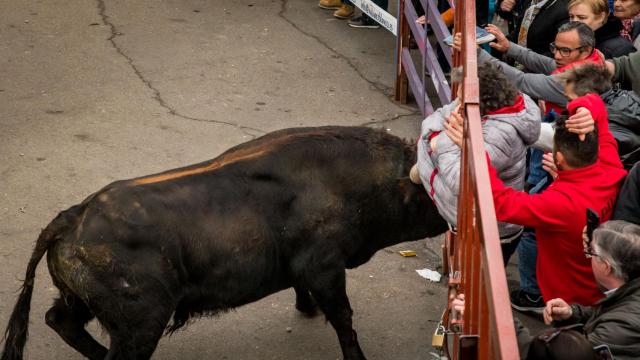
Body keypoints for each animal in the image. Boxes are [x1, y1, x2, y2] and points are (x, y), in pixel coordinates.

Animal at [2, 125, 448, 358]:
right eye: (431, 189)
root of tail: (72, 216)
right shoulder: (326, 268)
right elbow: (343, 319)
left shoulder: (307, 268)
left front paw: (304, 309)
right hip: (140, 323)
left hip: (85, 302)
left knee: (59, 320)